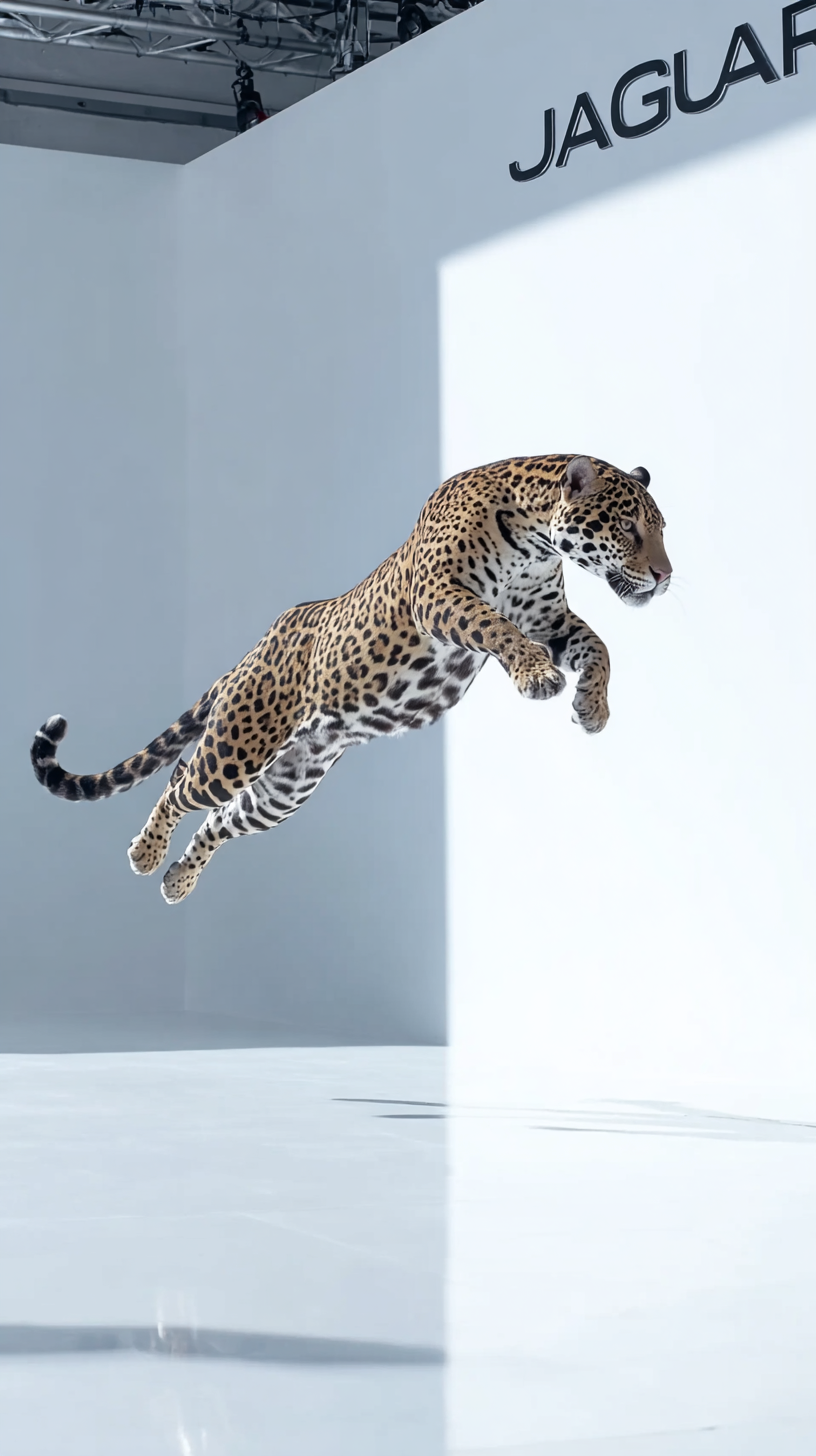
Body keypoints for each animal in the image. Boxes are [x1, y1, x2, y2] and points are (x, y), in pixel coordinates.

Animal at [31, 453, 672, 905]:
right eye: (630, 528)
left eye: (661, 528)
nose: (666, 577)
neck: (537, 542)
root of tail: (255, 649)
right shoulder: (438, 597)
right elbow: (497, 625)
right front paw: (538, 675)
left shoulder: (550, 619)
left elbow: (599, 645)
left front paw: (593, 708)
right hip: (239, 744)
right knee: (183, 778)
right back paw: (145, 853)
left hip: (285, 787)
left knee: (220, 817)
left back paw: (178, 880)